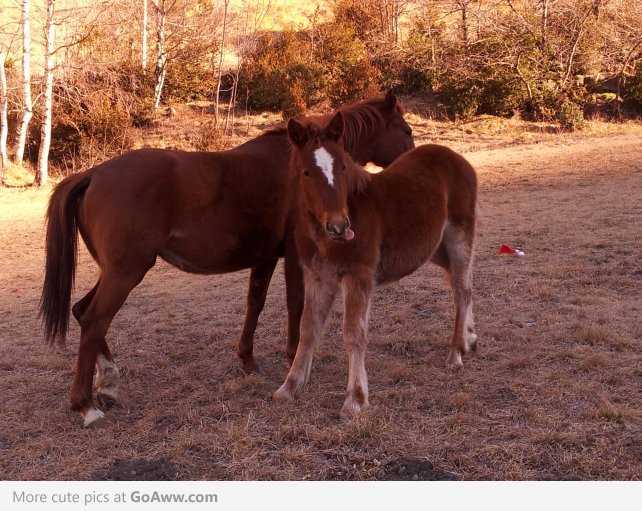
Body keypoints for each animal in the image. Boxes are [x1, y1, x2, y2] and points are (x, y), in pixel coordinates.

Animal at [40, 92, 412, 428]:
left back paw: (109, 382)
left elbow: (255, 302)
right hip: (125, 272)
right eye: (407, 130)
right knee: (94, 320)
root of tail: (93, 174)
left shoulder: (266, 257)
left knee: (82, 311)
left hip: (118, 271)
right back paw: (86, 405)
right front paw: (293, 356)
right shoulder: (295, 256)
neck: (300, 171)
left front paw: (247, 358)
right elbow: (295, 305)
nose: (412, 160)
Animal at [272, 111, 478, 416]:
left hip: (459, 237)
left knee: (462, 290)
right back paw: (469, 340)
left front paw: (355, 399)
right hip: (435, 249)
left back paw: (455, 354)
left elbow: (354, 334)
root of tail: (459, 159)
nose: (339, 225)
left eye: (343, 167)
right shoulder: (317, 277)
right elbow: (308, 329)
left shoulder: (358, 277)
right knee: (462, 282)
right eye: (306, 172)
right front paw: (289, 387)